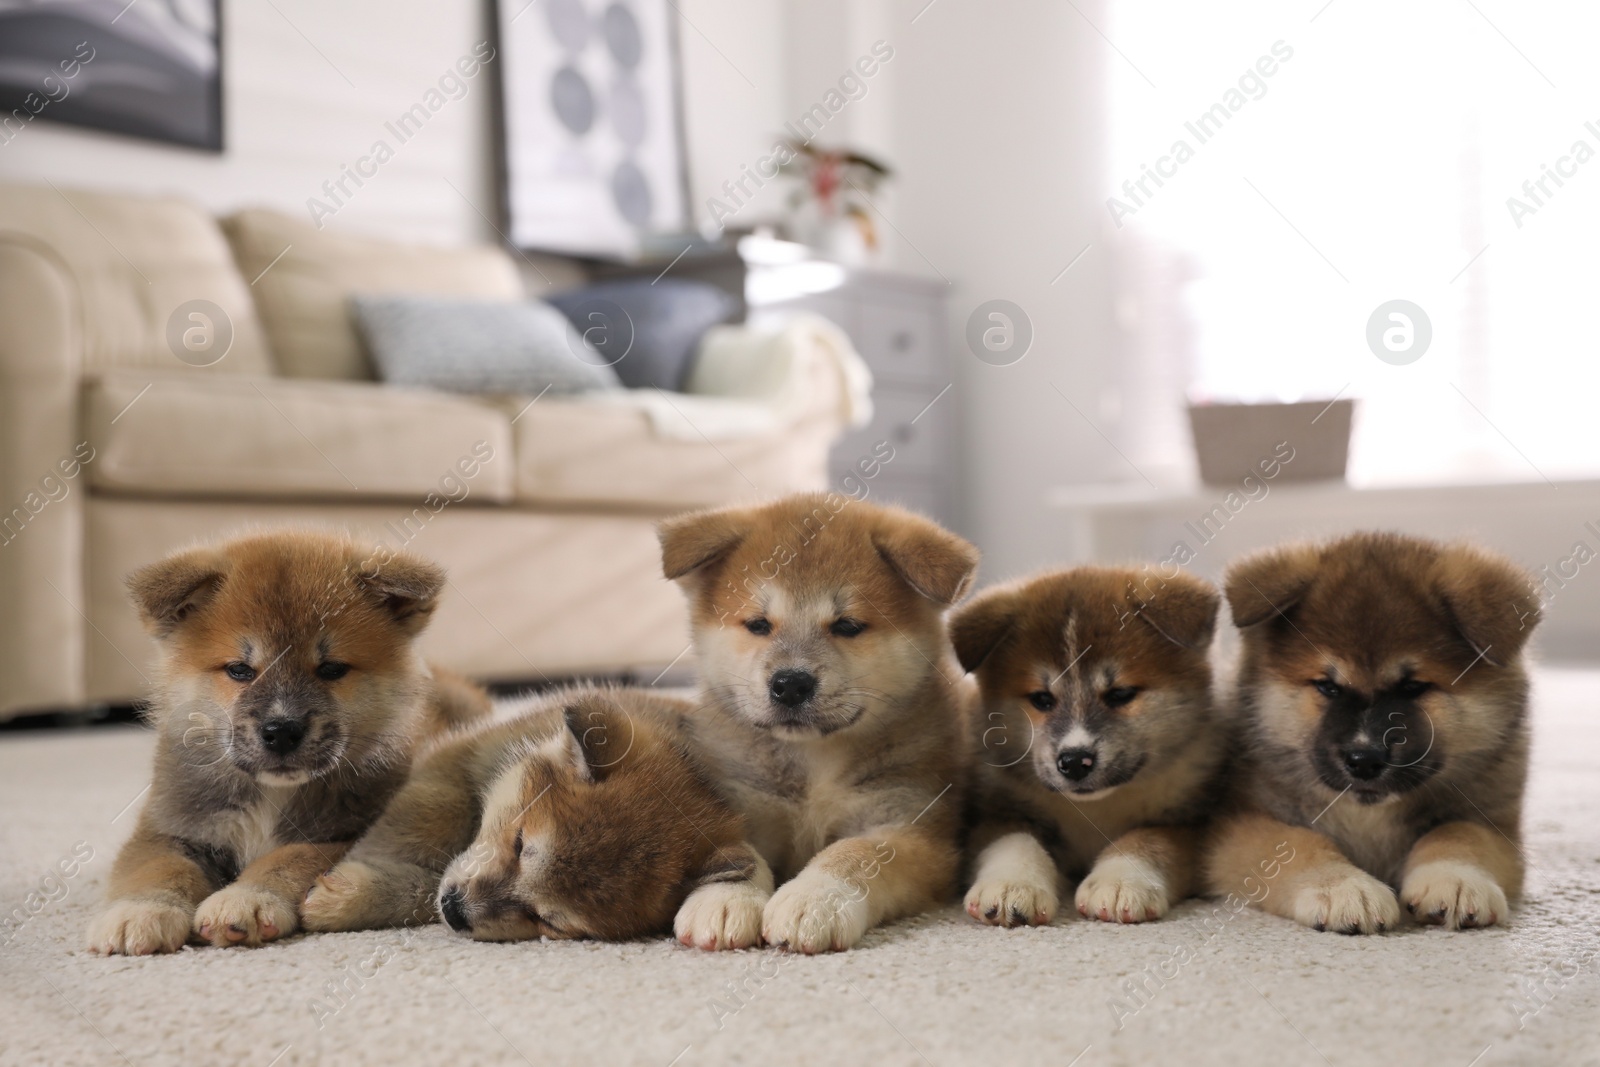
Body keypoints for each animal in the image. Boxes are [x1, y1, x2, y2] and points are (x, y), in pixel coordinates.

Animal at [86, 534, 486, 959]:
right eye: (239, 670)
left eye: (331, 669)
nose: (281, 730)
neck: (271, 793)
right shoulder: (171, 826)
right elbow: (157, 867)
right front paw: (140, 910)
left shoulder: (347, 833)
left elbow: (290, 857)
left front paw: (246, 898)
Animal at [308, 684, 771, 940]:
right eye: (519, 844)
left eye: (547, 920)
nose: (456, 911)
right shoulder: (455, 759)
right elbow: (421, 824)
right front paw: (354, 887)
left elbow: (424, 887)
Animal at [656, 492, 979, 953]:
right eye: (758, 624)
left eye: (848, 626)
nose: (790, 684)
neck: (815, 764)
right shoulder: (741, 803)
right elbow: (737, 851)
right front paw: (725, 897)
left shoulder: (910, 827)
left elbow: (852, 853)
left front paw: (814, 898)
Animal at [947, 566, 1222, 927]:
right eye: (1042, 699)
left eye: (1121, 694)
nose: (1075, 761)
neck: (1094, 809)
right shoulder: (997, 813)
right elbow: (1014, 842)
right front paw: (1011, 885)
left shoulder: (1190, 823)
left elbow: (1149, 840)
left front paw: (1120, 881)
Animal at [1209, 534, 1536, 934]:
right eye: (1328, 687)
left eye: (1412, 688)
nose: (1364, 760)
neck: (1369, 816)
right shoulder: (1238, 823)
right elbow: (1295, 842)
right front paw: (1342, 886)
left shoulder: (1494, 822)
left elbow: (1459, 834)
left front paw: (1456, 878)